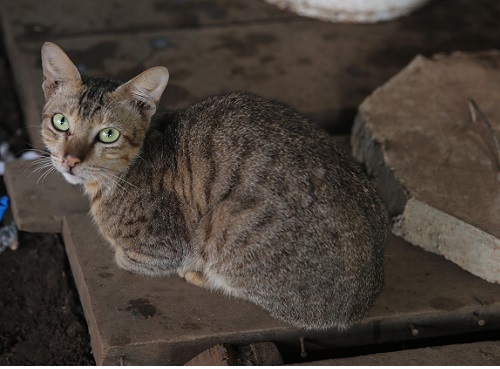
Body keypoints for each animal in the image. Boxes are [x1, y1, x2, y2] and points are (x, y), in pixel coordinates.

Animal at [41, 41, 388, 330]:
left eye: (108, 134)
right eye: (60, 121)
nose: (70, 160)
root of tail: (362, 299)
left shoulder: (161, 248)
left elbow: (129, 257)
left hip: (226, 224)